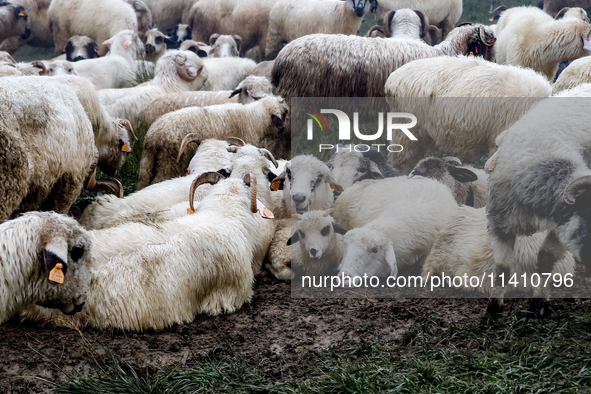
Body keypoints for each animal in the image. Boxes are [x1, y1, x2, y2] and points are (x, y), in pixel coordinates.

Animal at [486, 91, 591, 318]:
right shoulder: (500, 223)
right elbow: (502, 269)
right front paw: (493, 310)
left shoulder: (560, 225)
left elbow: (545, 260)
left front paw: (538, 305)